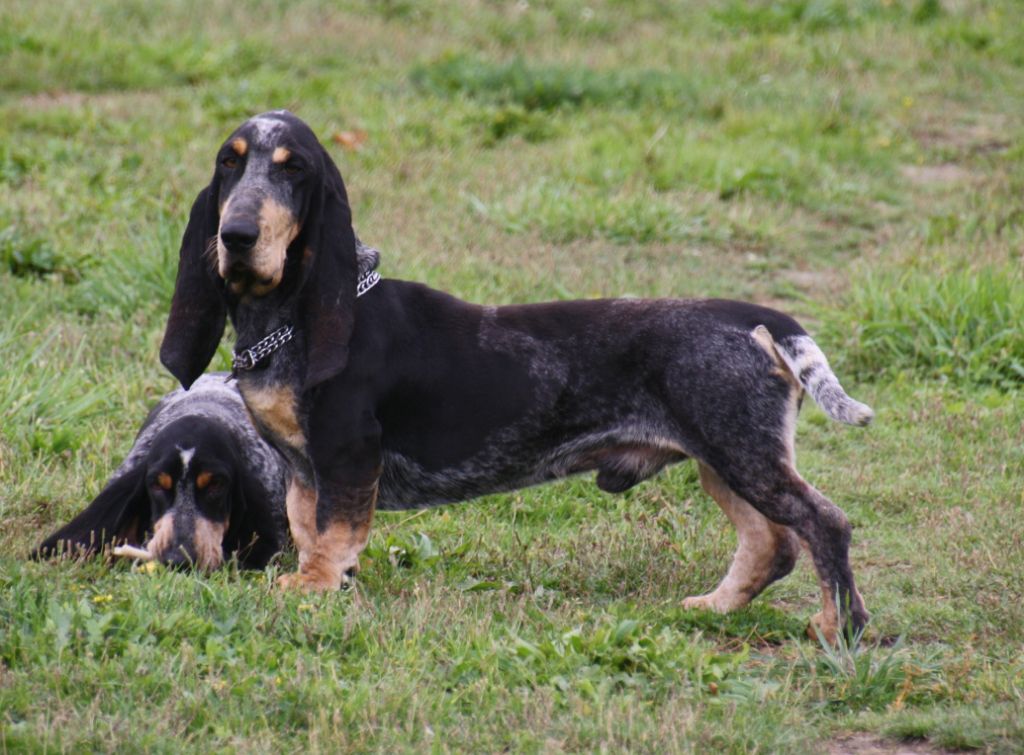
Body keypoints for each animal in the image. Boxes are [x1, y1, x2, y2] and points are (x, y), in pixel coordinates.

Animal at [157, 110, 872, 643]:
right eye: (229, 162)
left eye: (293, 169)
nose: (237, 234)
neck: (289, 319)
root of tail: (752, 316)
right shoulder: (305, 469)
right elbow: (309, 528)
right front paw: (313, 579)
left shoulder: (346, 454)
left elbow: (333, 533)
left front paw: (316, 588)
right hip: (722, 458)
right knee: (771, 543)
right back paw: (714, 607)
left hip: (741, 453)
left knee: (824, 524)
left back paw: (839, 629)